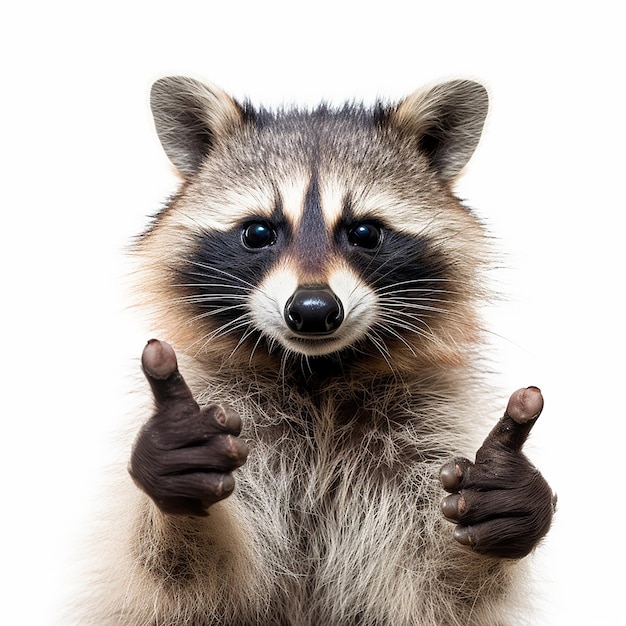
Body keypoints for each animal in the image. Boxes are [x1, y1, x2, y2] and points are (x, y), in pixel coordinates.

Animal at [70, 75, 552, 620]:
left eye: (364, 232)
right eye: (259, 232)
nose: (315, 309)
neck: (317, 374)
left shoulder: (424, 431)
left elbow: (438, 586)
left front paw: (506, 497)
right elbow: (182, 580)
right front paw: (175, 473)